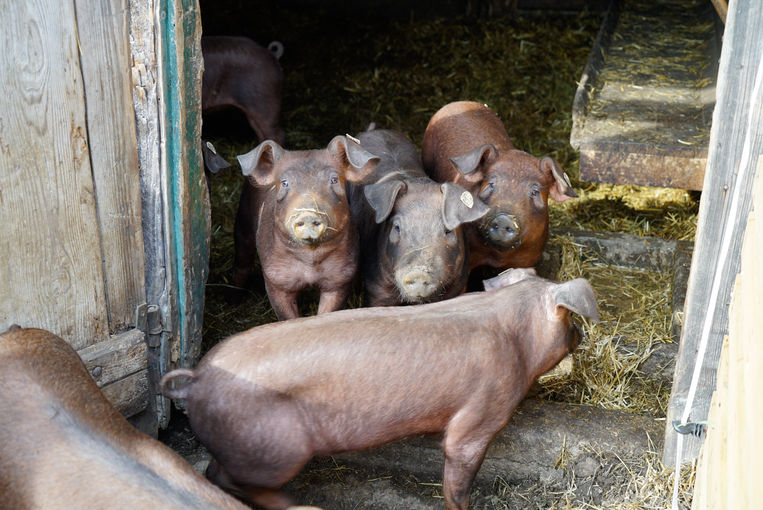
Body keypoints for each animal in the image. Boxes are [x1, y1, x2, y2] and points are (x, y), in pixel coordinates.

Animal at [163, 268, 604, 508]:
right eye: (569, 320)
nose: (581, 334)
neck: (517, 336)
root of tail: (197, 381)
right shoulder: (479, 418)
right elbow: (458, 471)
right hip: (275, 448)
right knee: (227, 478)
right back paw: (299, 504)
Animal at [230, 135, 380, 318]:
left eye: (334, 179)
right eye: (285, 183)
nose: (308, 213)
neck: (310, 261)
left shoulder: (340, 279)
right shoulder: (275, 279)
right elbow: (287, 316)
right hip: (243, 221)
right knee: (242, 262)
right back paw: (233, 301)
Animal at [350, 127, 492, 306]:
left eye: (448, 231)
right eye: (397, 227)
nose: (419, 272)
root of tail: (376, 130)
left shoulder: (458, 286)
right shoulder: (376, 288)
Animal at [420, 101, 576, 272]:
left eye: (535, 191)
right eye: (491, 184)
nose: (503, 219)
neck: (498, 257)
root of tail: (458, 103)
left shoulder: (529, 258)